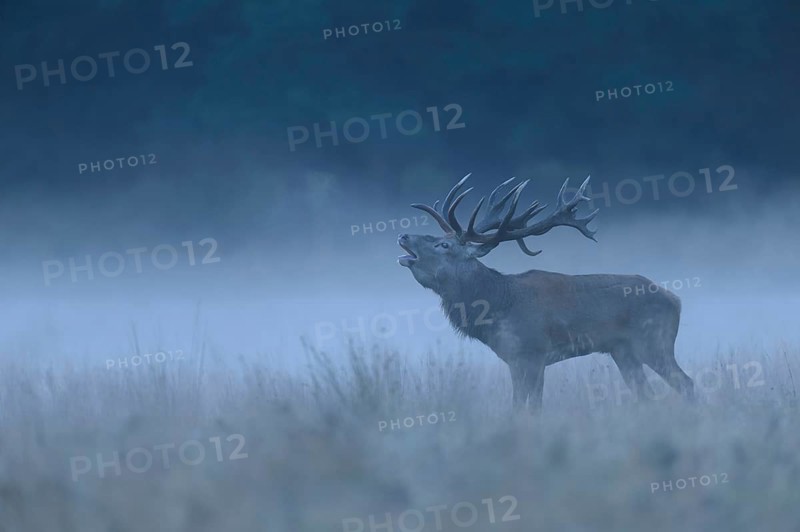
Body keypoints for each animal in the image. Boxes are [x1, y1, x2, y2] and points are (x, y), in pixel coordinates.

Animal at [397, 174, 695, 410]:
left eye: (444, 246)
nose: (404, 235)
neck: (496, 307)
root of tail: (676, 300)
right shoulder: (527, 360)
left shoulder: (529, 354)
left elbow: (523, 407)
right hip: (623, 351)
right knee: (645, 393)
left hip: (653, 341)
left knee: (686, 382)